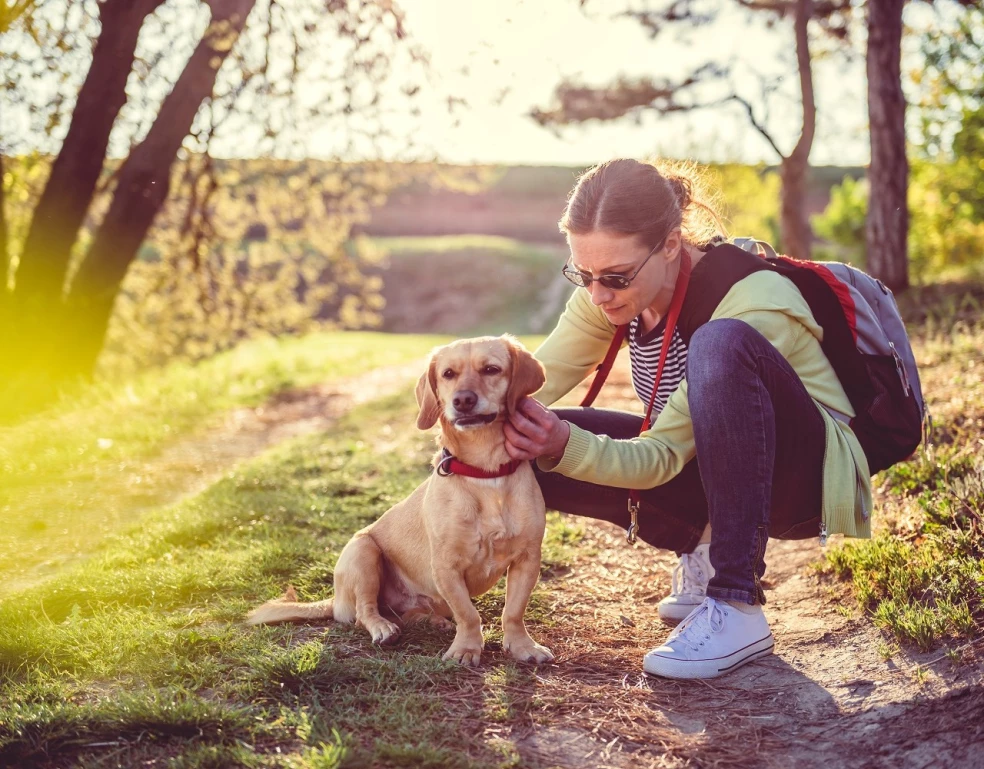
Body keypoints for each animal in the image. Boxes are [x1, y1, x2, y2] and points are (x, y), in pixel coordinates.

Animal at [246, 336, 552, 664]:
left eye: (491, 369)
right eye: (448, 374)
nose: (462, 400)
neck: (485, 473)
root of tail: (336, 599)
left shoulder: (527, 559)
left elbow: (513, 611)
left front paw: (522, 646)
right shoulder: (446, 566)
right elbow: (468, 615)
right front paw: (466, 648)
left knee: (409, 614)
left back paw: (431, 621)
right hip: (364, 551)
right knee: (364, 613)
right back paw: (383, 628)